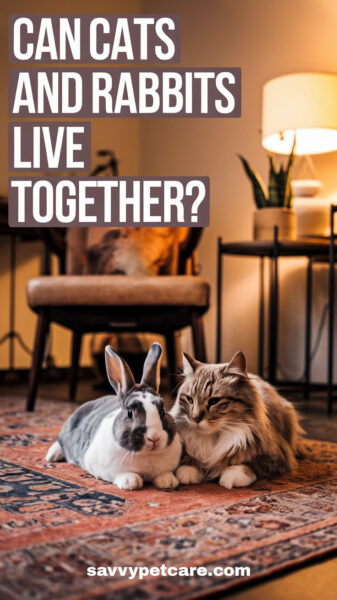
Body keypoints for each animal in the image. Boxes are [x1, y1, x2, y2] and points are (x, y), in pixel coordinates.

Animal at [45, 344, 181, 490]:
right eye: (129, 412)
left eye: (162, 410)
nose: (154, 437)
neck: (146, 454)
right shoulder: (102, 468)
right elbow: (122, 475)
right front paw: (130, 482)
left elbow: (164, 474)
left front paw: (168, 481)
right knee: (60, 442)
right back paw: (52, 456)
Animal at [169, 352, 304, 488]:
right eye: (190, 400)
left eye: (214, 401)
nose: (195, 418)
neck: (214, 437)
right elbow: (190, 458)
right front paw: (188, 470)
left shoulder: (278, 456)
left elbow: (251, 463)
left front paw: (233, 476)